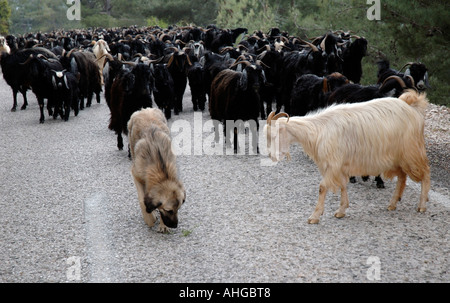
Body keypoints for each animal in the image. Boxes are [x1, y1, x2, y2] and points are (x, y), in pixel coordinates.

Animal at [266, 89, 430, 224]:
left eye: (274, 136)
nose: (271, 156)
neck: (318, 130)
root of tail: (412, 107)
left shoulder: (333, 163)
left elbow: (322, 187)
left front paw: (315, 216)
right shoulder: (339, 164)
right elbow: (343, 185)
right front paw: (341, 210)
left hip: (411, 151)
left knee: (425, 173)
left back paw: (421, 205)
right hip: (398, 157)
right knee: (402, 177)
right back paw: (393, 203)